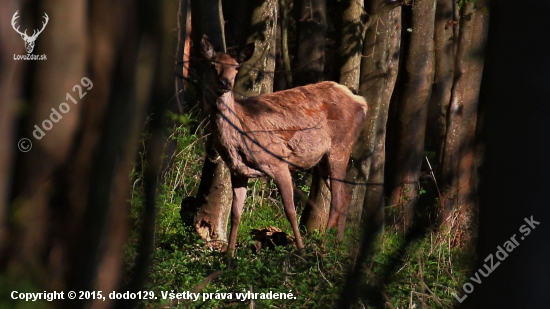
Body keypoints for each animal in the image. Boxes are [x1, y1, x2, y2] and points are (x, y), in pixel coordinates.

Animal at [201, 35, 368, 255]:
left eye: (236, 67)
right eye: (213, 64)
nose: (225, 83)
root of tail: (362, 102)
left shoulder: (278, 162)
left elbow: (289, 210)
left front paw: (301, 250)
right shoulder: (238, 171)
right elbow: (235, 214)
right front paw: (229, 255)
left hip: (340, 146)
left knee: (338, 198)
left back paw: (323, 248)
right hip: (322, 159)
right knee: (345, 195)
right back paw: (338, 246)